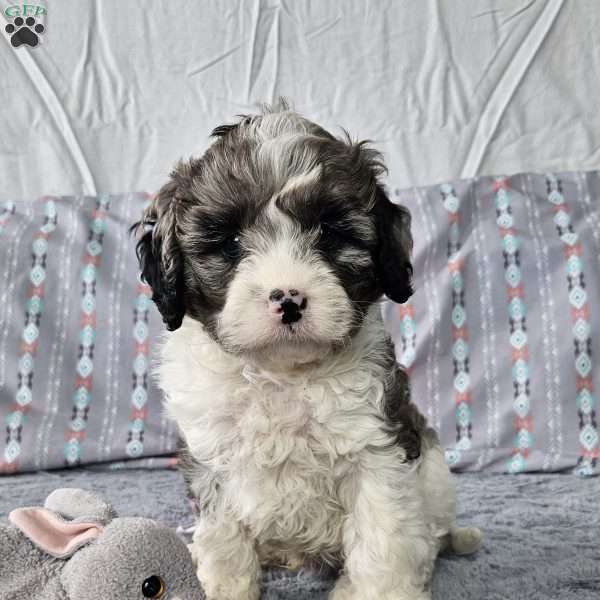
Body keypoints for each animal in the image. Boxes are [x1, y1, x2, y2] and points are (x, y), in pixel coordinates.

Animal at [134, 102, 480, 600]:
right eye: (231, 243)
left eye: (329, 234)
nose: (289, 299)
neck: (283, 376)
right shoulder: (211, 460)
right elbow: (225, 543)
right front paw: (223, 585)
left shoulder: (378, 454)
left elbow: (383, 544)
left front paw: (376, 590)